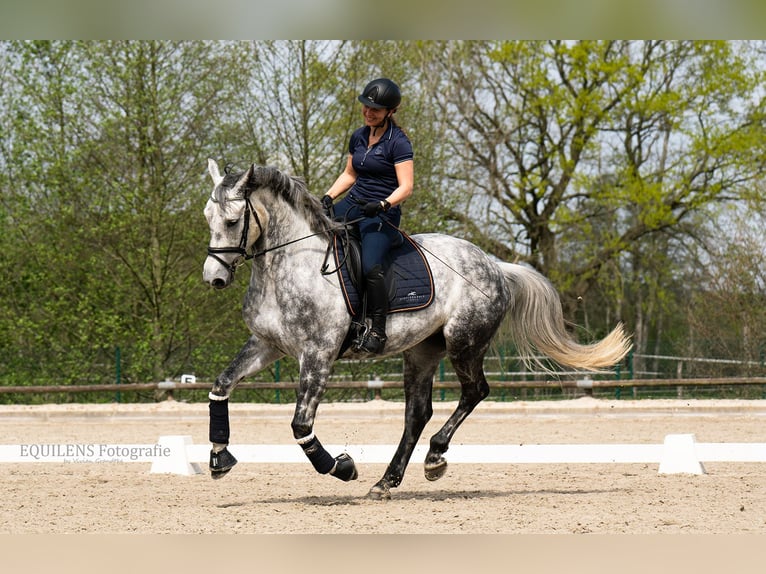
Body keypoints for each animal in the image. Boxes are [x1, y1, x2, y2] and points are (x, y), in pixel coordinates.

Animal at [202, 159, 632, 500]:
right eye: (208, 218)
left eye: (233, 220)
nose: (213, 278)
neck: (291, 265)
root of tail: (494, 264)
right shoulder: (266, 345)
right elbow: (221, 385)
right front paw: (219, 457)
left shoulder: (318, 354)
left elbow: (300, 425)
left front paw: (342, 467)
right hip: (423, 350)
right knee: (417, 414)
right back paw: (387, 481)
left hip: (464, 343)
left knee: (475, 392)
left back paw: (435, 457)